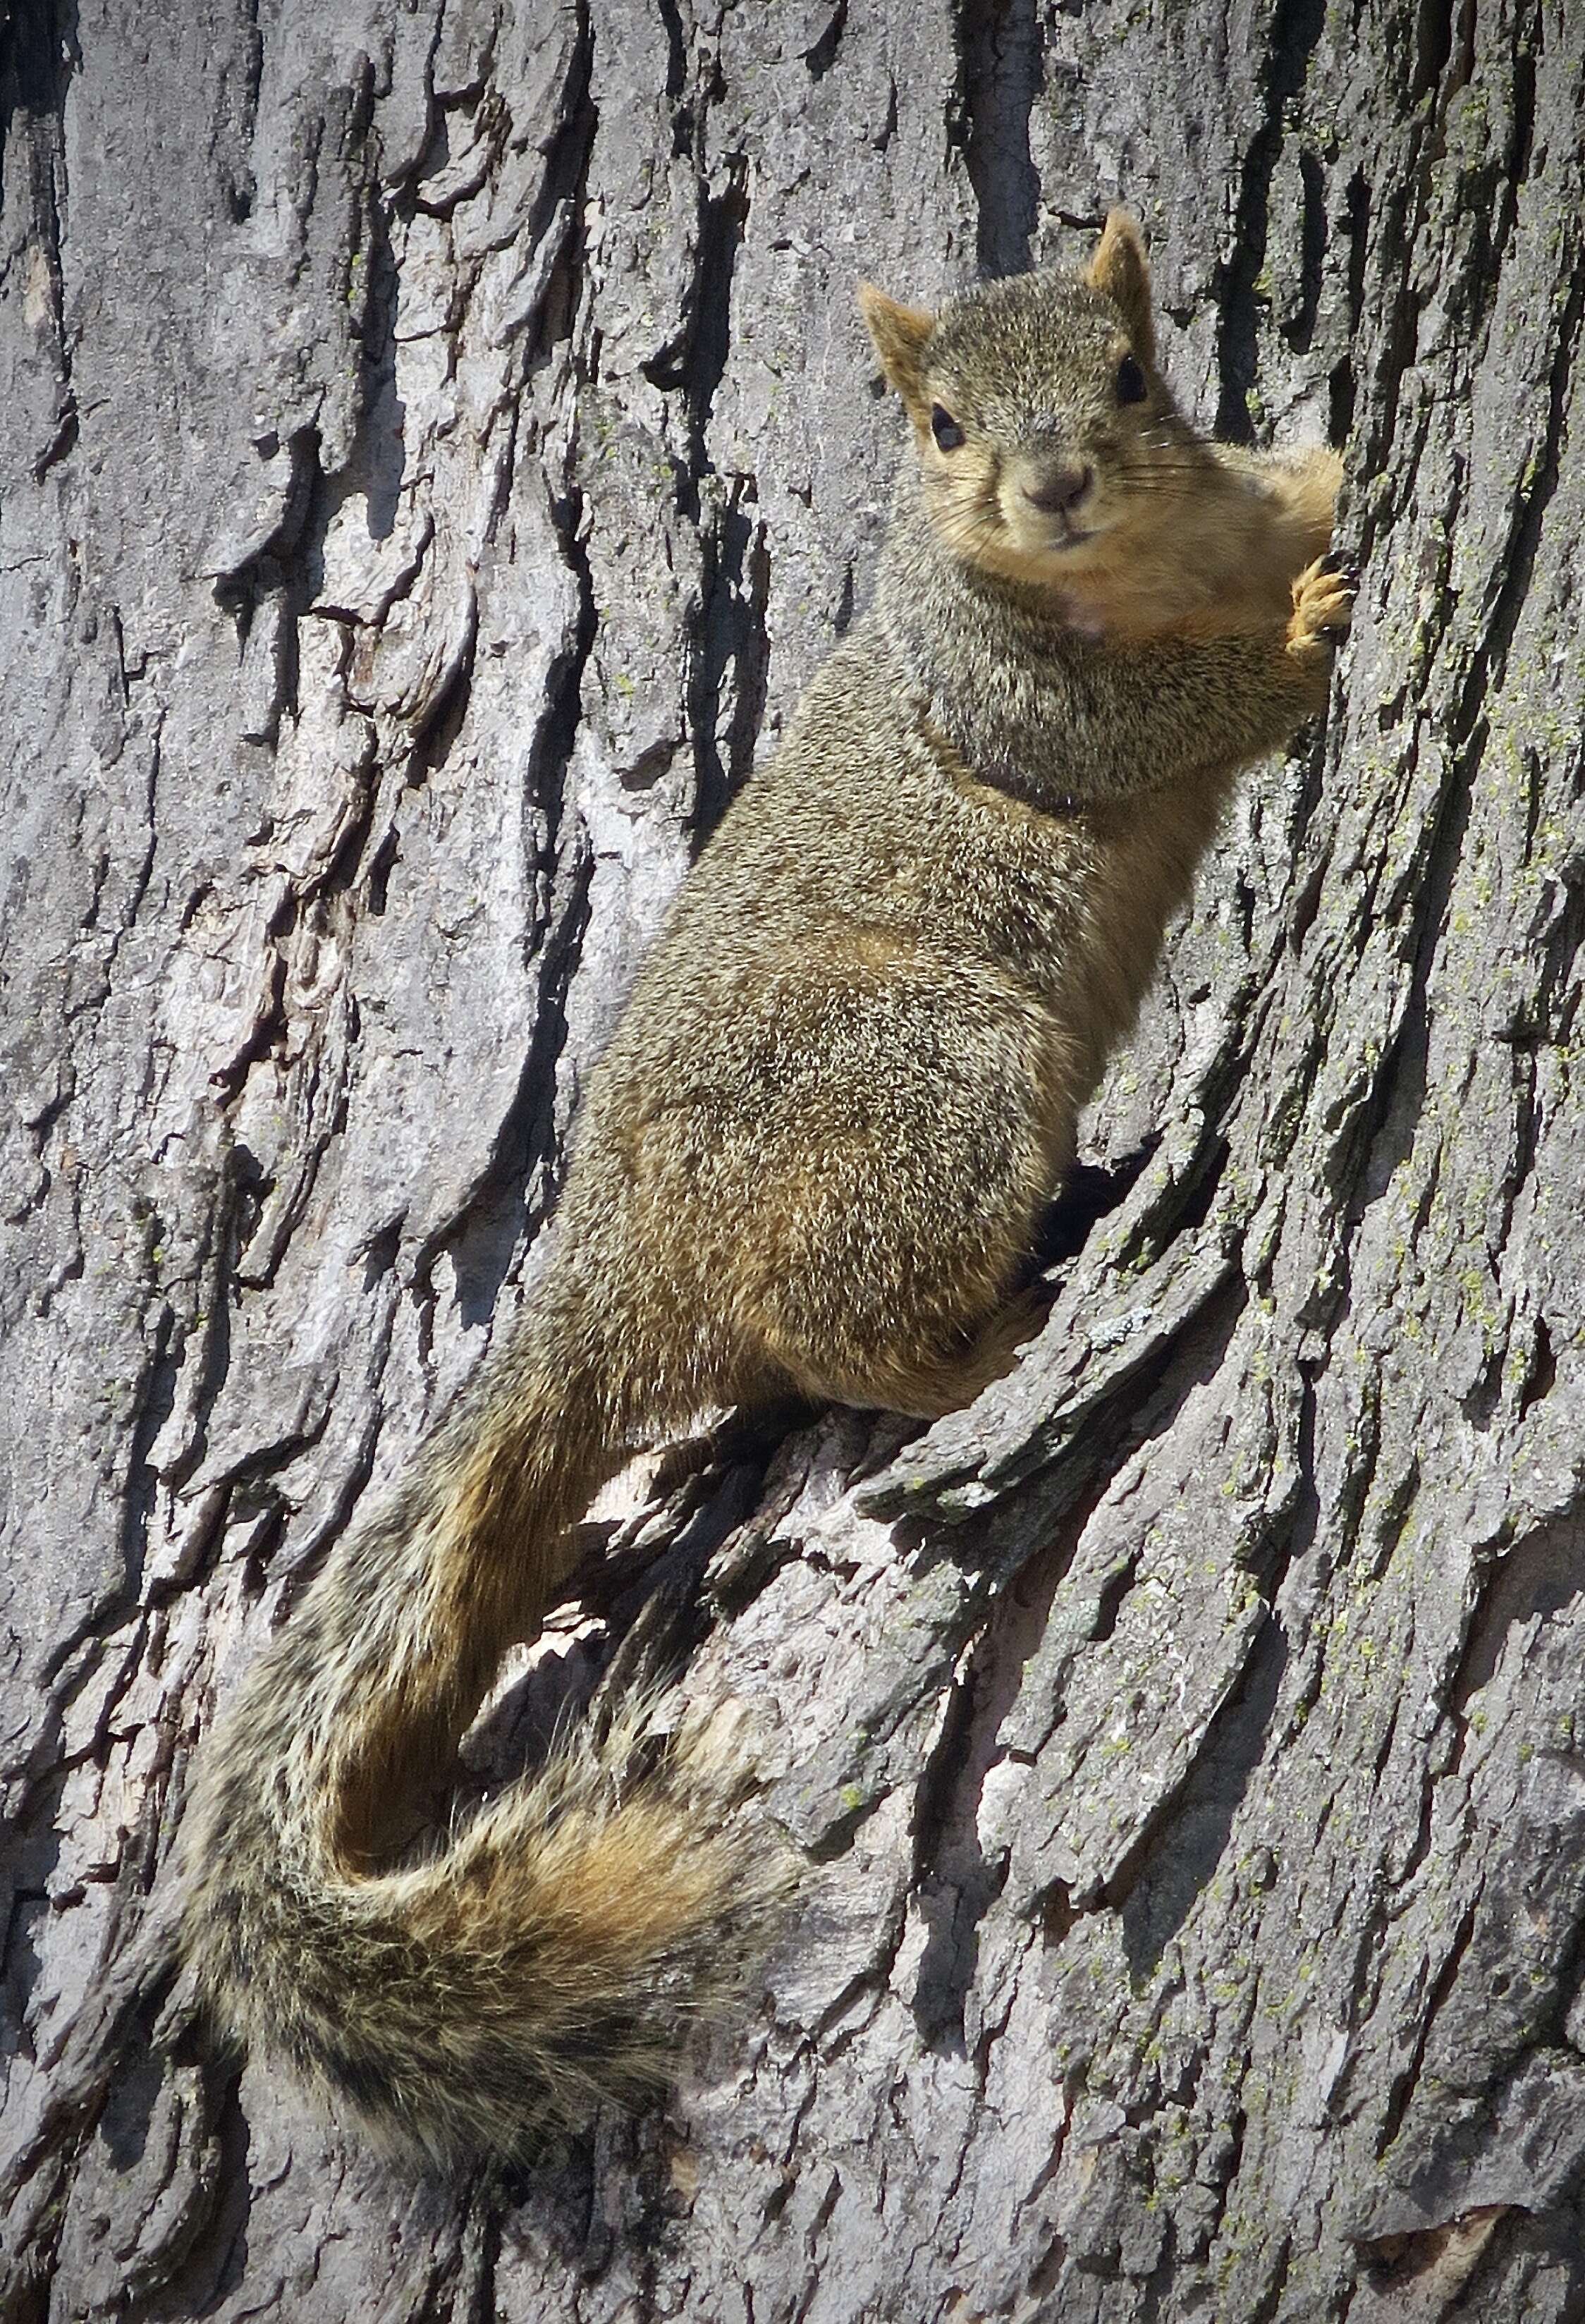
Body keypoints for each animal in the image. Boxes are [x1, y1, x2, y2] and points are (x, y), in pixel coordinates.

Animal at [182, 214, 1347, 2156]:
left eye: (1128, 375)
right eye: (939, 423)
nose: (1048, 485)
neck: (1152, 550)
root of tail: (608, 1271)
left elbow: (1287, 490)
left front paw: (1333, 485)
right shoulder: (1012, 688)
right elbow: (1143, 719)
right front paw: (1296, 644)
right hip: (930, 1078)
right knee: (824, 1327)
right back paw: (983, 1347)